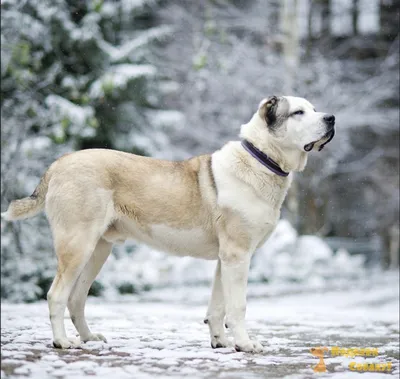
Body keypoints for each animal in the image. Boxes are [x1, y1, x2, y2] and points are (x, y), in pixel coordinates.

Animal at [2, 95, 334, 354]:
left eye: (314, 108)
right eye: (298, 112)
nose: (331, 118)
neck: (262, 158)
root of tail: (59, 163)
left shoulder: (225, 260)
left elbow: (218, 306)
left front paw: (221, 342)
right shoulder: (238, 256)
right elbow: (237, 306)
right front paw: (245, 344)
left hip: (98, 251)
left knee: (76, 298)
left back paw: (88, 338)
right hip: (77, 246)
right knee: (57, 295)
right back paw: (62, 342)